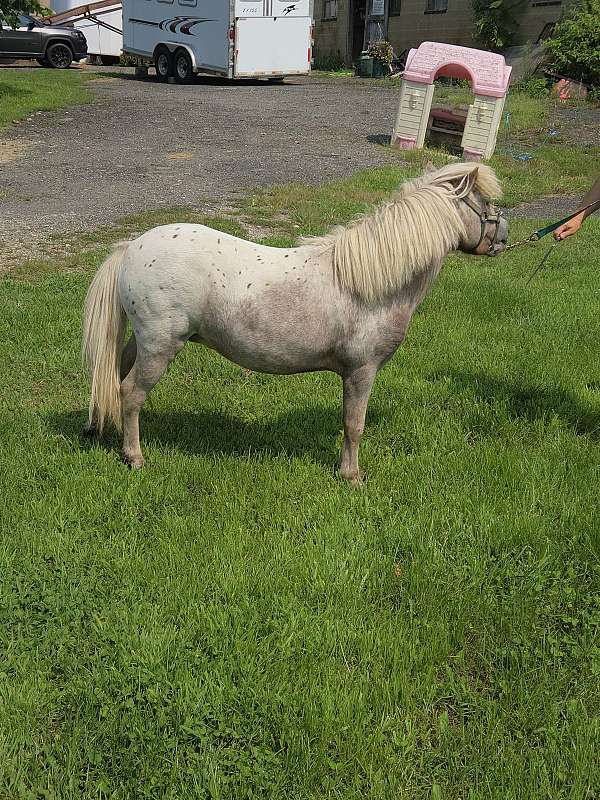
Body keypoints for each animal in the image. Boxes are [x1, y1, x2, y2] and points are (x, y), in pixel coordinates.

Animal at [82, 162, 508, 485]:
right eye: (485, 202)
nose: (504, 236)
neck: (372, 281)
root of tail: (132, 248)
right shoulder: (362, 371)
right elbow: (354, 425)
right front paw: (351, 477)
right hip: (160, 346)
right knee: (131, 393)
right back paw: (134, 456)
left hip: (142, 341)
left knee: (115, 377)